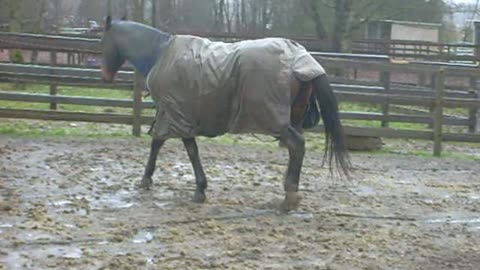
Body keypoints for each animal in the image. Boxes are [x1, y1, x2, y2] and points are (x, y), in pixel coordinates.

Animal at [100, 16, 348, 211]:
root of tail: (300, 57)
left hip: (275, 121)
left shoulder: (176, 114)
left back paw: (290, 197)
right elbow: (165, 145)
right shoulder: (176, 115)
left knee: (297, 145)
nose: (106, 76)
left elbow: (177, 147)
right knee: (297, 149)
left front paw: (189, 188)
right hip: (293, 118)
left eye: (102, 41)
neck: (160, 53)